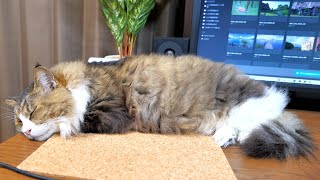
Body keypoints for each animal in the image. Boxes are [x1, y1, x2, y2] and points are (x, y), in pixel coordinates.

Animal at [6, 54, 314, 160]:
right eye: (19, 122)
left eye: (33, 112)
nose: (26, 132)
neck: (87, 80)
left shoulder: (110, 113)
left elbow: (72, 122)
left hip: (244, 106)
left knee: (245, 125)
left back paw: (225, 137)